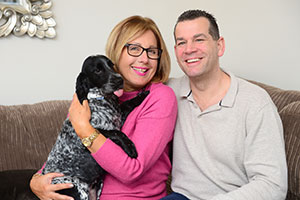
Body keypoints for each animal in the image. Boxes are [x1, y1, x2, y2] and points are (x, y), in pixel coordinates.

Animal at [41, 54, 149, 200]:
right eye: (97, 70)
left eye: (111, 65)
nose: (119, 79)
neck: (102, 98)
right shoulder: (91, 134)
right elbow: (117, 133)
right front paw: (130, 147)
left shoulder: (119, 115)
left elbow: (128, 103)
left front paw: (143, 94)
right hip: (77, 190)